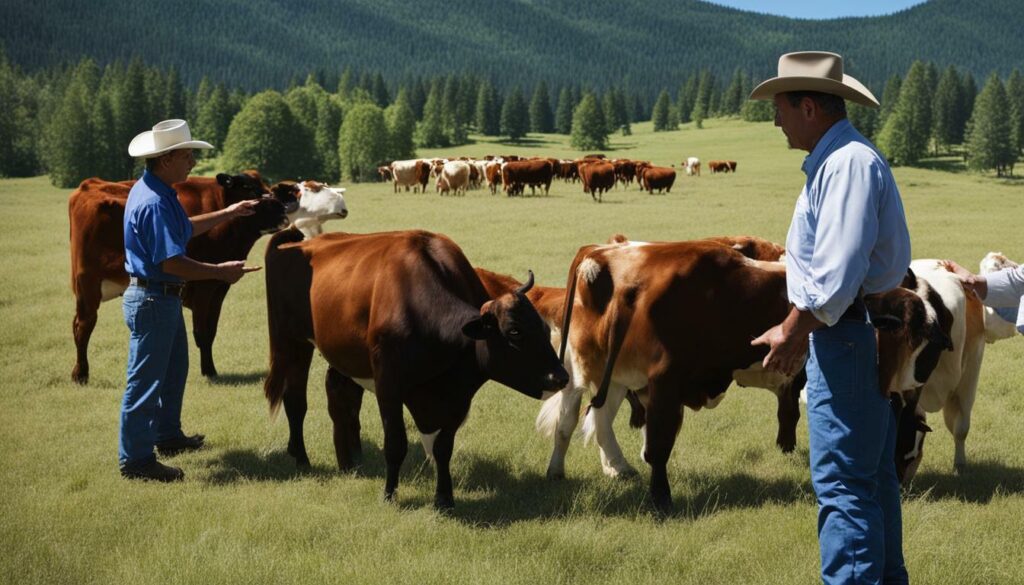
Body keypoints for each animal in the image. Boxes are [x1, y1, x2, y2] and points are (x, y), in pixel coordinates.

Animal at [68, 172, 291, 383]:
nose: (282, 208)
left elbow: (211, 331)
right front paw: (208, 371)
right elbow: (202, 333)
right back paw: (81, 374)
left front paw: (210, 369)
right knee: (84, 326)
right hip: (87, 283)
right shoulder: (203, 287)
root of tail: (89, 184)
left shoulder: (218, 288)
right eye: (249, 188)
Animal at [262, 229, 570, 509]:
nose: (561, 376)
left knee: (341, 398)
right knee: (296, 400)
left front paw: (444, 499)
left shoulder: (457, 399)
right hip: (291, 341)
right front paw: (389, 495)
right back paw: (302, 459)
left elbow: (443, 448)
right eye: (514, 331)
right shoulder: (389, 386)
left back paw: (350, 461)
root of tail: (294, 243)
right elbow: (395, 443)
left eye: (544, 328)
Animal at [557, 240, 952, 512]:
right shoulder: (665, 386)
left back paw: (606, 468)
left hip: (604, 377)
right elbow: (657, 449)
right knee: (616, 429)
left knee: (592, 420)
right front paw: (662, 499)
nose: (901, 488)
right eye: (907, 448)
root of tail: (604, 252)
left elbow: (788, 415)